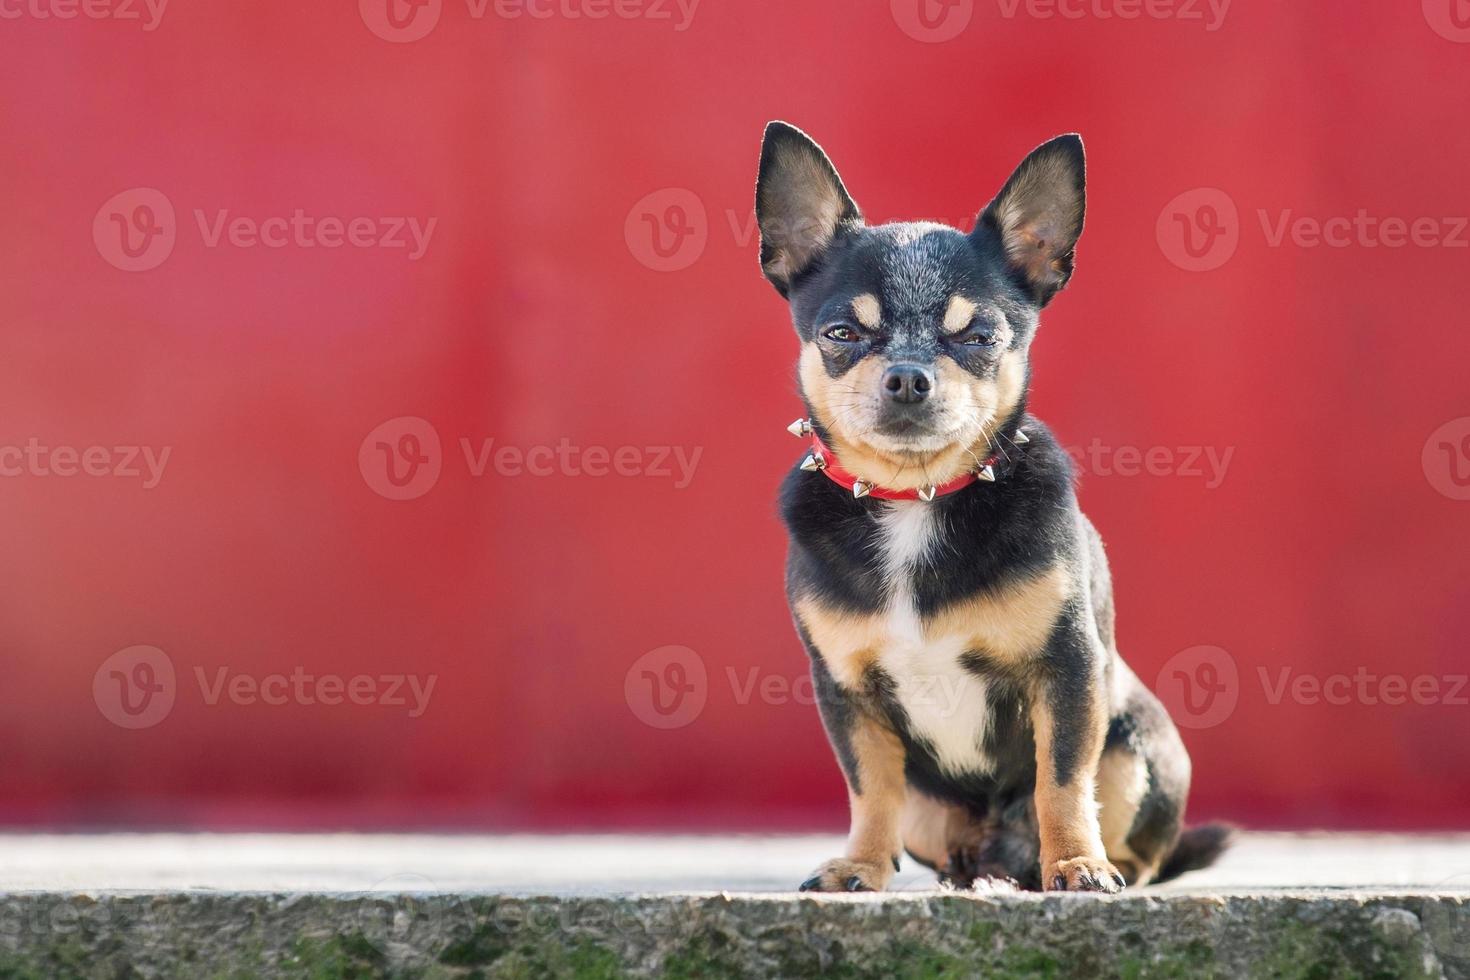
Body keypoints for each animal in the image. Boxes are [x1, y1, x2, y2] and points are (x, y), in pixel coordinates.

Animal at [758, 122, 1228, 899]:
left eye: (978, 339)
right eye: (841, 335)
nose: (908, 376)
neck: (917, 497)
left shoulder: (1067, 672)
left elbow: (1062, 781)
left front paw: (1076, 865)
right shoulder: (848, 694)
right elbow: (870, 787)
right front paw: (859, 866)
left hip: (1136, 743)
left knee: (1128, 832)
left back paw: (1081, 867)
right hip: (931, 809)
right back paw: (965, 874)